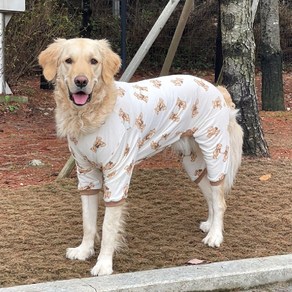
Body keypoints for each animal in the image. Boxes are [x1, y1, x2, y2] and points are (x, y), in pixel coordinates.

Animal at [39, 37, 244, 274]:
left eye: (94, 61)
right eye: (68, 61)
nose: (81, 81)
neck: (93, 113)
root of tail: (216, 89)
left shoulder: (117, 173)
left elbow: (108, 226)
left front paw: (104, 264)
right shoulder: (86, 173)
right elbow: (88, 221)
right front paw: (84, 250)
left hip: (214, 152)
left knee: (220, 201)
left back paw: (215, 236)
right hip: (193, 162)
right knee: (211, 196)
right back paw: (210, 225)